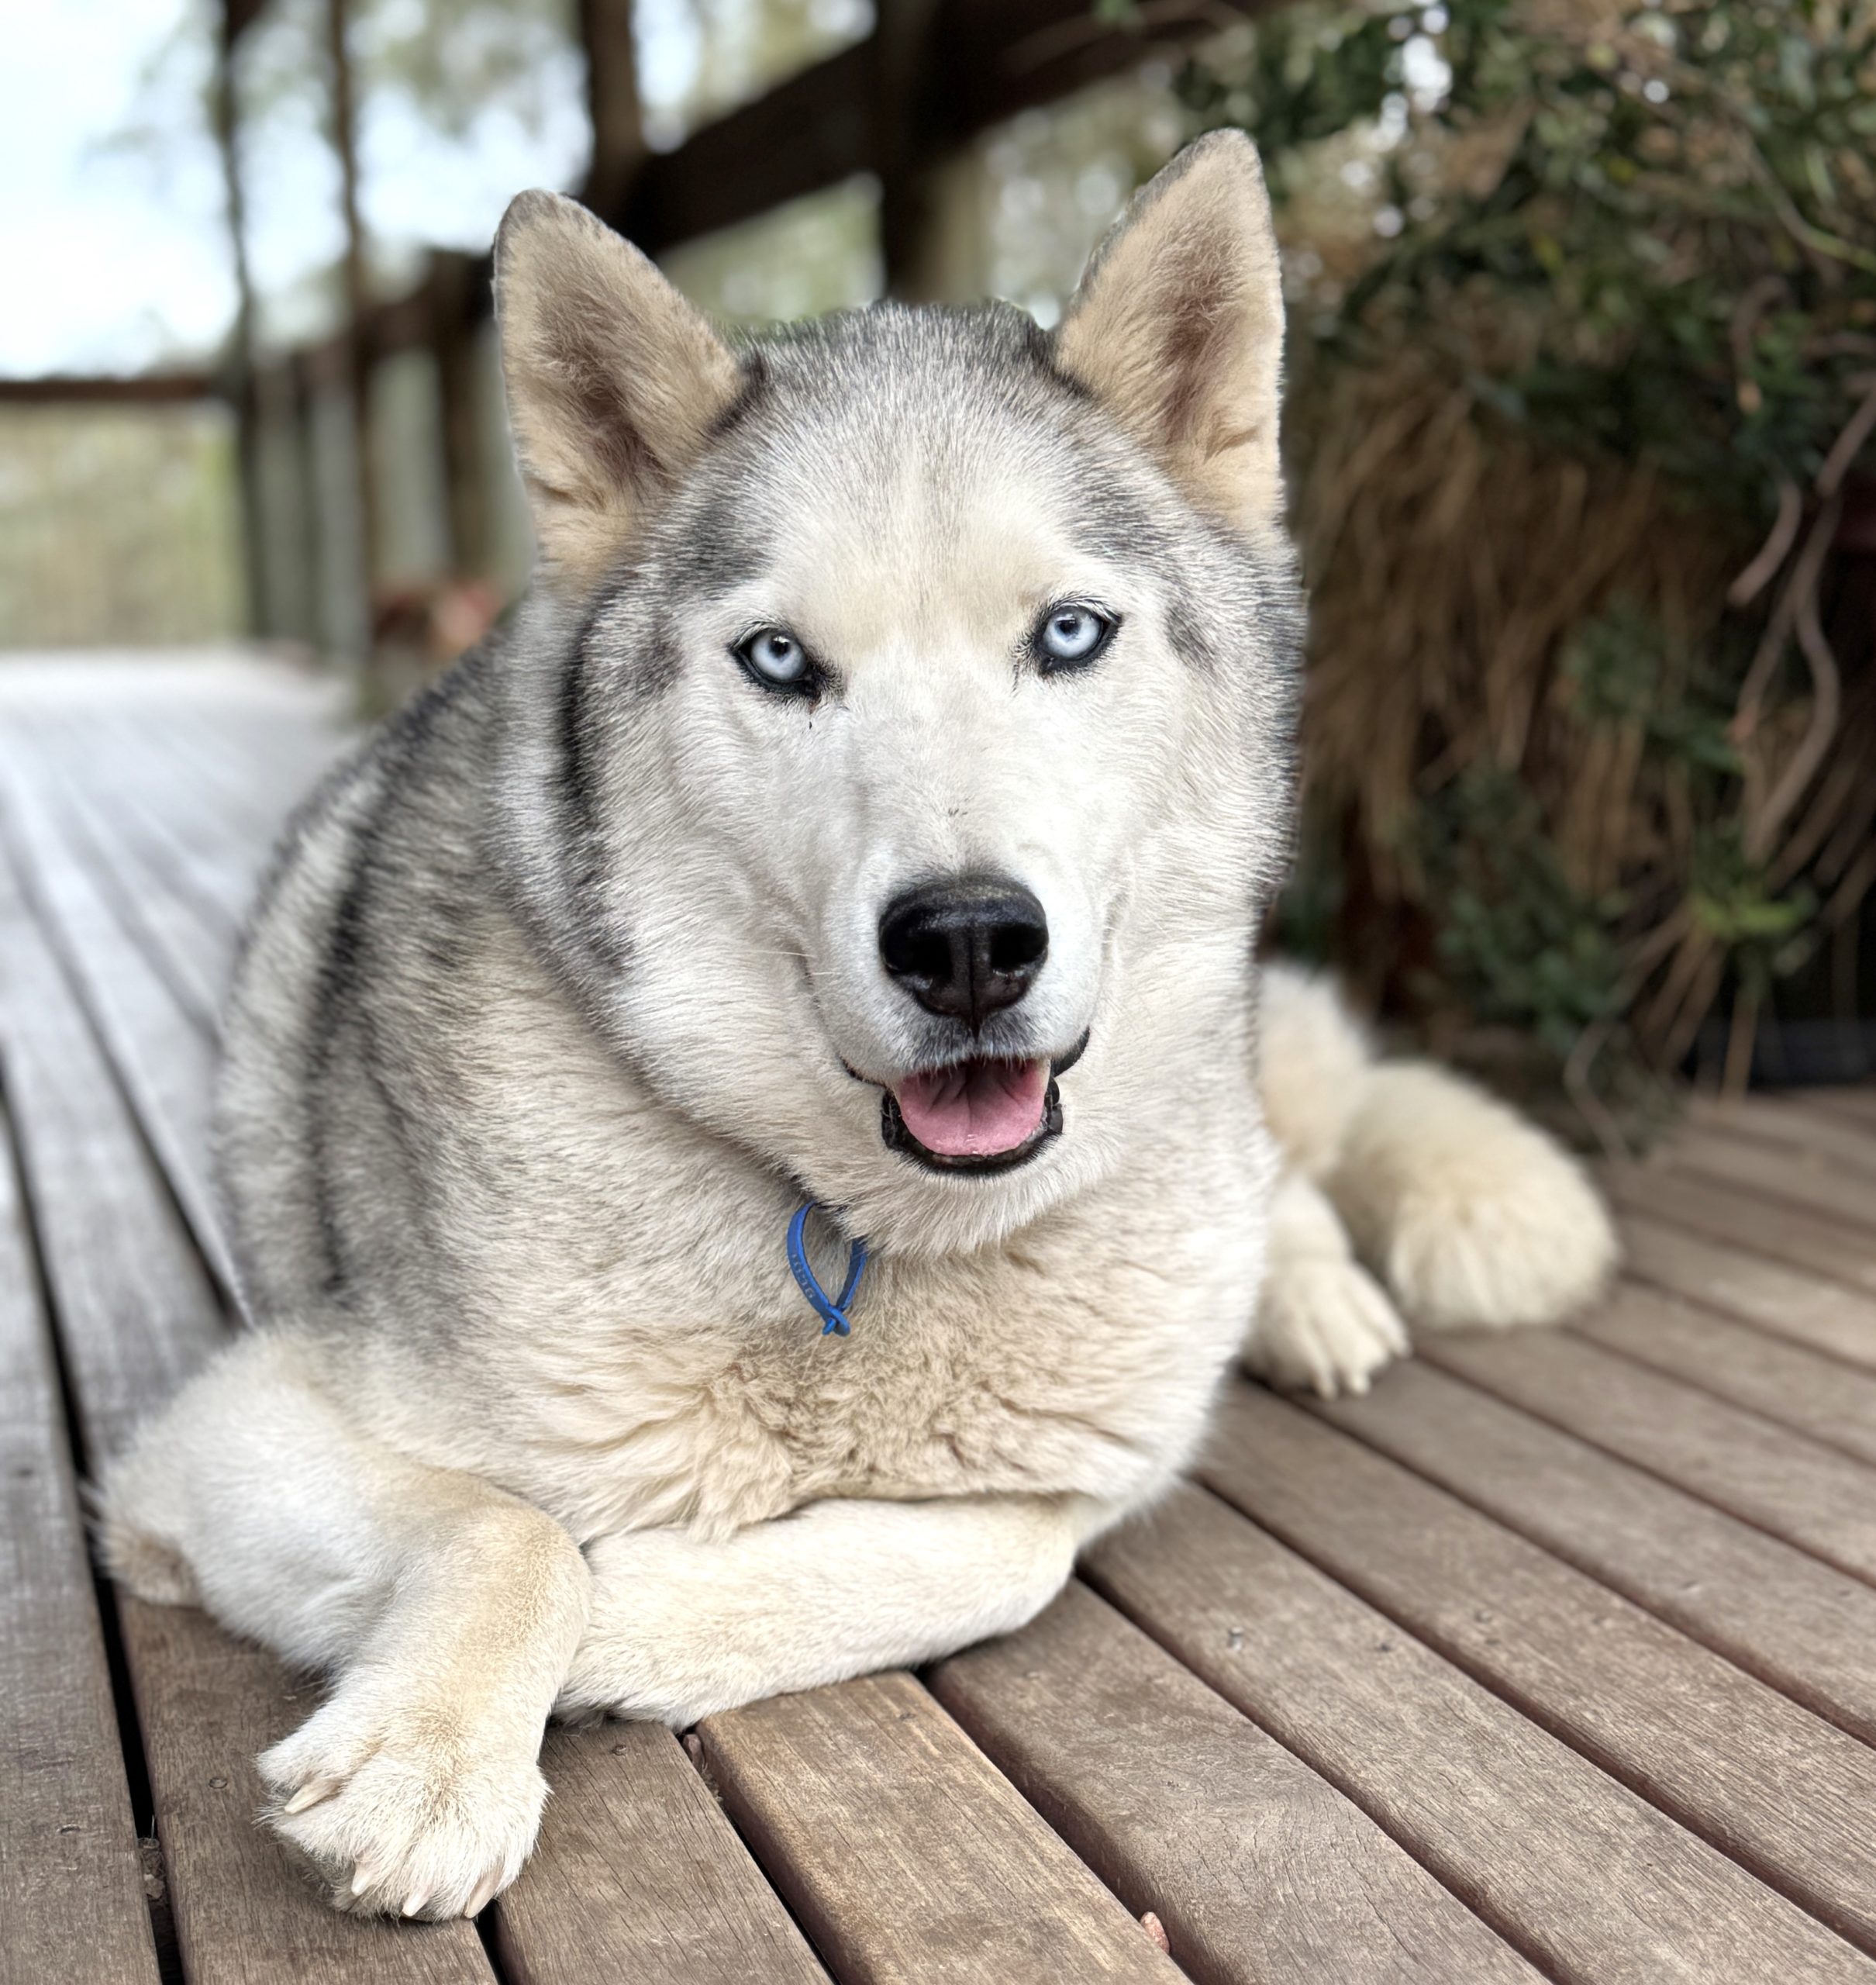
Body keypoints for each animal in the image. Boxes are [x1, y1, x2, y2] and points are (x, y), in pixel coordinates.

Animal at [98, 132, 1612, 1913]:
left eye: (1069, 634)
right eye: (778, 660)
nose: (966, 942)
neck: (871, 1236)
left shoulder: (1092, 1452)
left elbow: (1024, 1543)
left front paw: (645, 1610)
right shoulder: (222, 1437)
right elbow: (515, 1527)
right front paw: (431, 1756)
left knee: (1280, 1179)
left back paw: (1314, 1300)